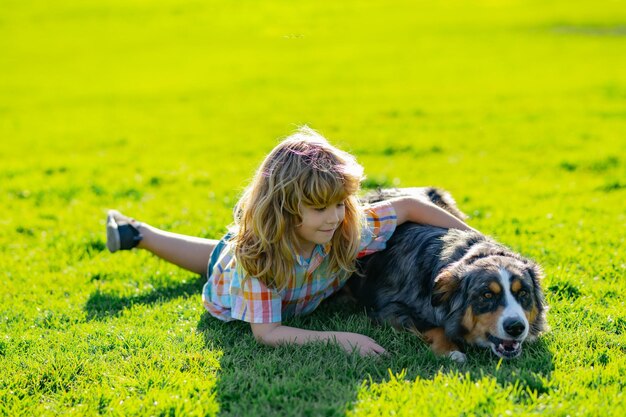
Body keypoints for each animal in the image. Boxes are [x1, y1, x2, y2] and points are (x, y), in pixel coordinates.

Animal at [346, 187, 544, 360]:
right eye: (487, 295)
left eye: (523, 293)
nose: (516, 327)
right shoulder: (389, 309)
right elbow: (434, 327)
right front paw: (451, 351)